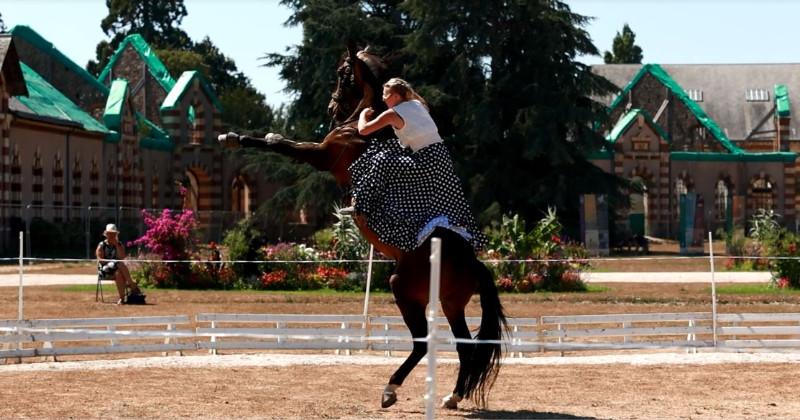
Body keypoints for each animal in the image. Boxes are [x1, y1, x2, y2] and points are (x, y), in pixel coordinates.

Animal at [219, 46, 506, 410]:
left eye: (343, 73)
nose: (332, 108)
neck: (361, 129)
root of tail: (474, 263)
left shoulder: (322, 155)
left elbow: (281, 144)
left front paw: (233, 137)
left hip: (404, 288)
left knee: (423, 343)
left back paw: (390, 390)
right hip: (450, 303)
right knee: (464, 347)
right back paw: (451, 397)